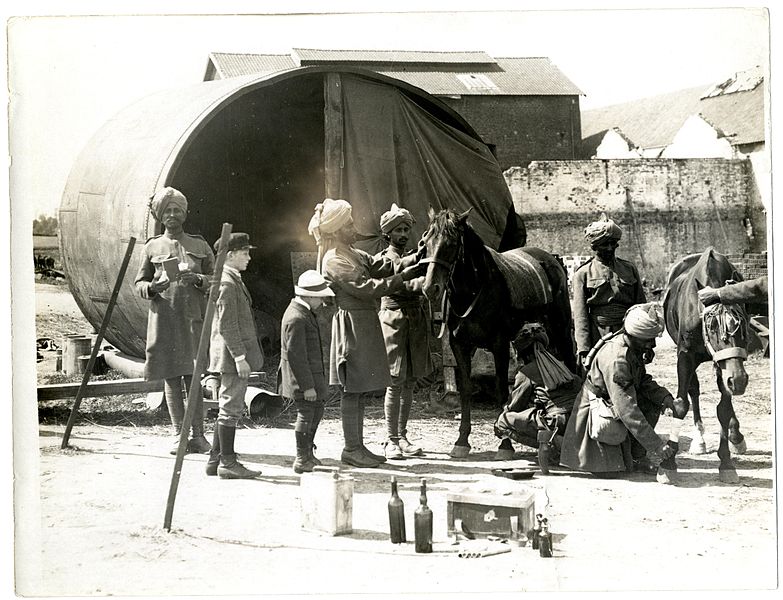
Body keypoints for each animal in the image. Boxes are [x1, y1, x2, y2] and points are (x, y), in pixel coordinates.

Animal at [422, 207, 576, 460]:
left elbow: (502, 390)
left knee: (571, 362)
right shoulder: (460, 346)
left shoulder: (499, 345)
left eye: (451, 243)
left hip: (561, 327)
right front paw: (462, 441)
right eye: (426, 241)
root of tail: (553, 259)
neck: (475, 289)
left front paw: (505, 445)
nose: (430, 288)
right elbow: (466, 390)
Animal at [664, 246, 752, 486]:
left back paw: (735, 436)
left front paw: (727, 462)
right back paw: (699, 440)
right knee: (694, 390)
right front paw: (668, 463)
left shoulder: (726, 365)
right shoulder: (685, 355)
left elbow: (724, 408)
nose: (739, 380)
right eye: (712, 326)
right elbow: (681, 404)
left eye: (742, 325)